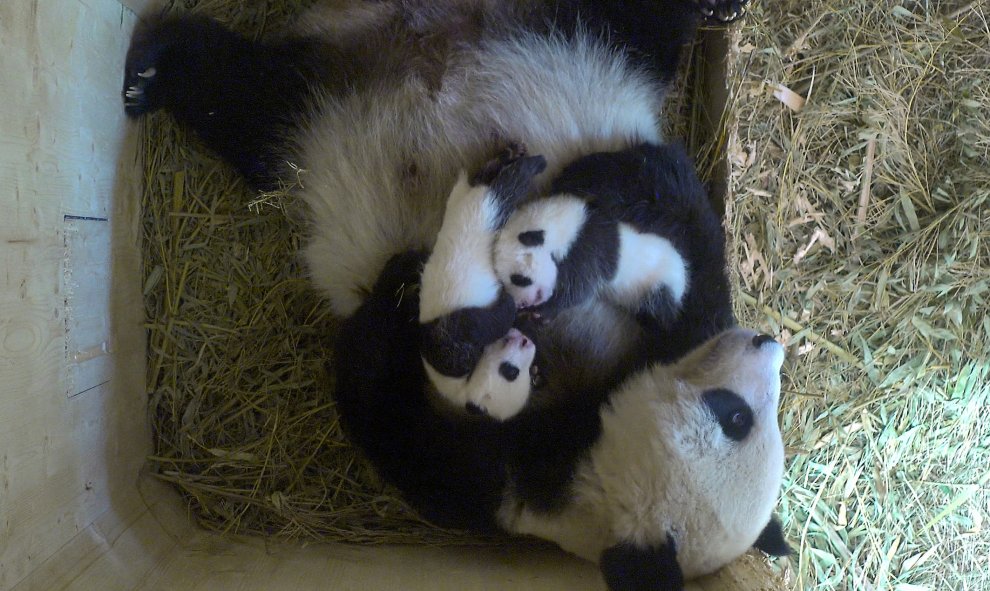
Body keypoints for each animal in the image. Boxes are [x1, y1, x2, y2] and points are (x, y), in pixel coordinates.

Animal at [122, 1, 792, 588]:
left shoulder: (495, 481)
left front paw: (401, 289)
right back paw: (146, 72)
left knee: (244, 99)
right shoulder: (673, 323)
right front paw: (599, 181)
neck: (582, 436)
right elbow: (679, 212)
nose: (768, 342)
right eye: (737, 416)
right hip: (561, 39)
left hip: (311, 115)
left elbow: (388, 416)